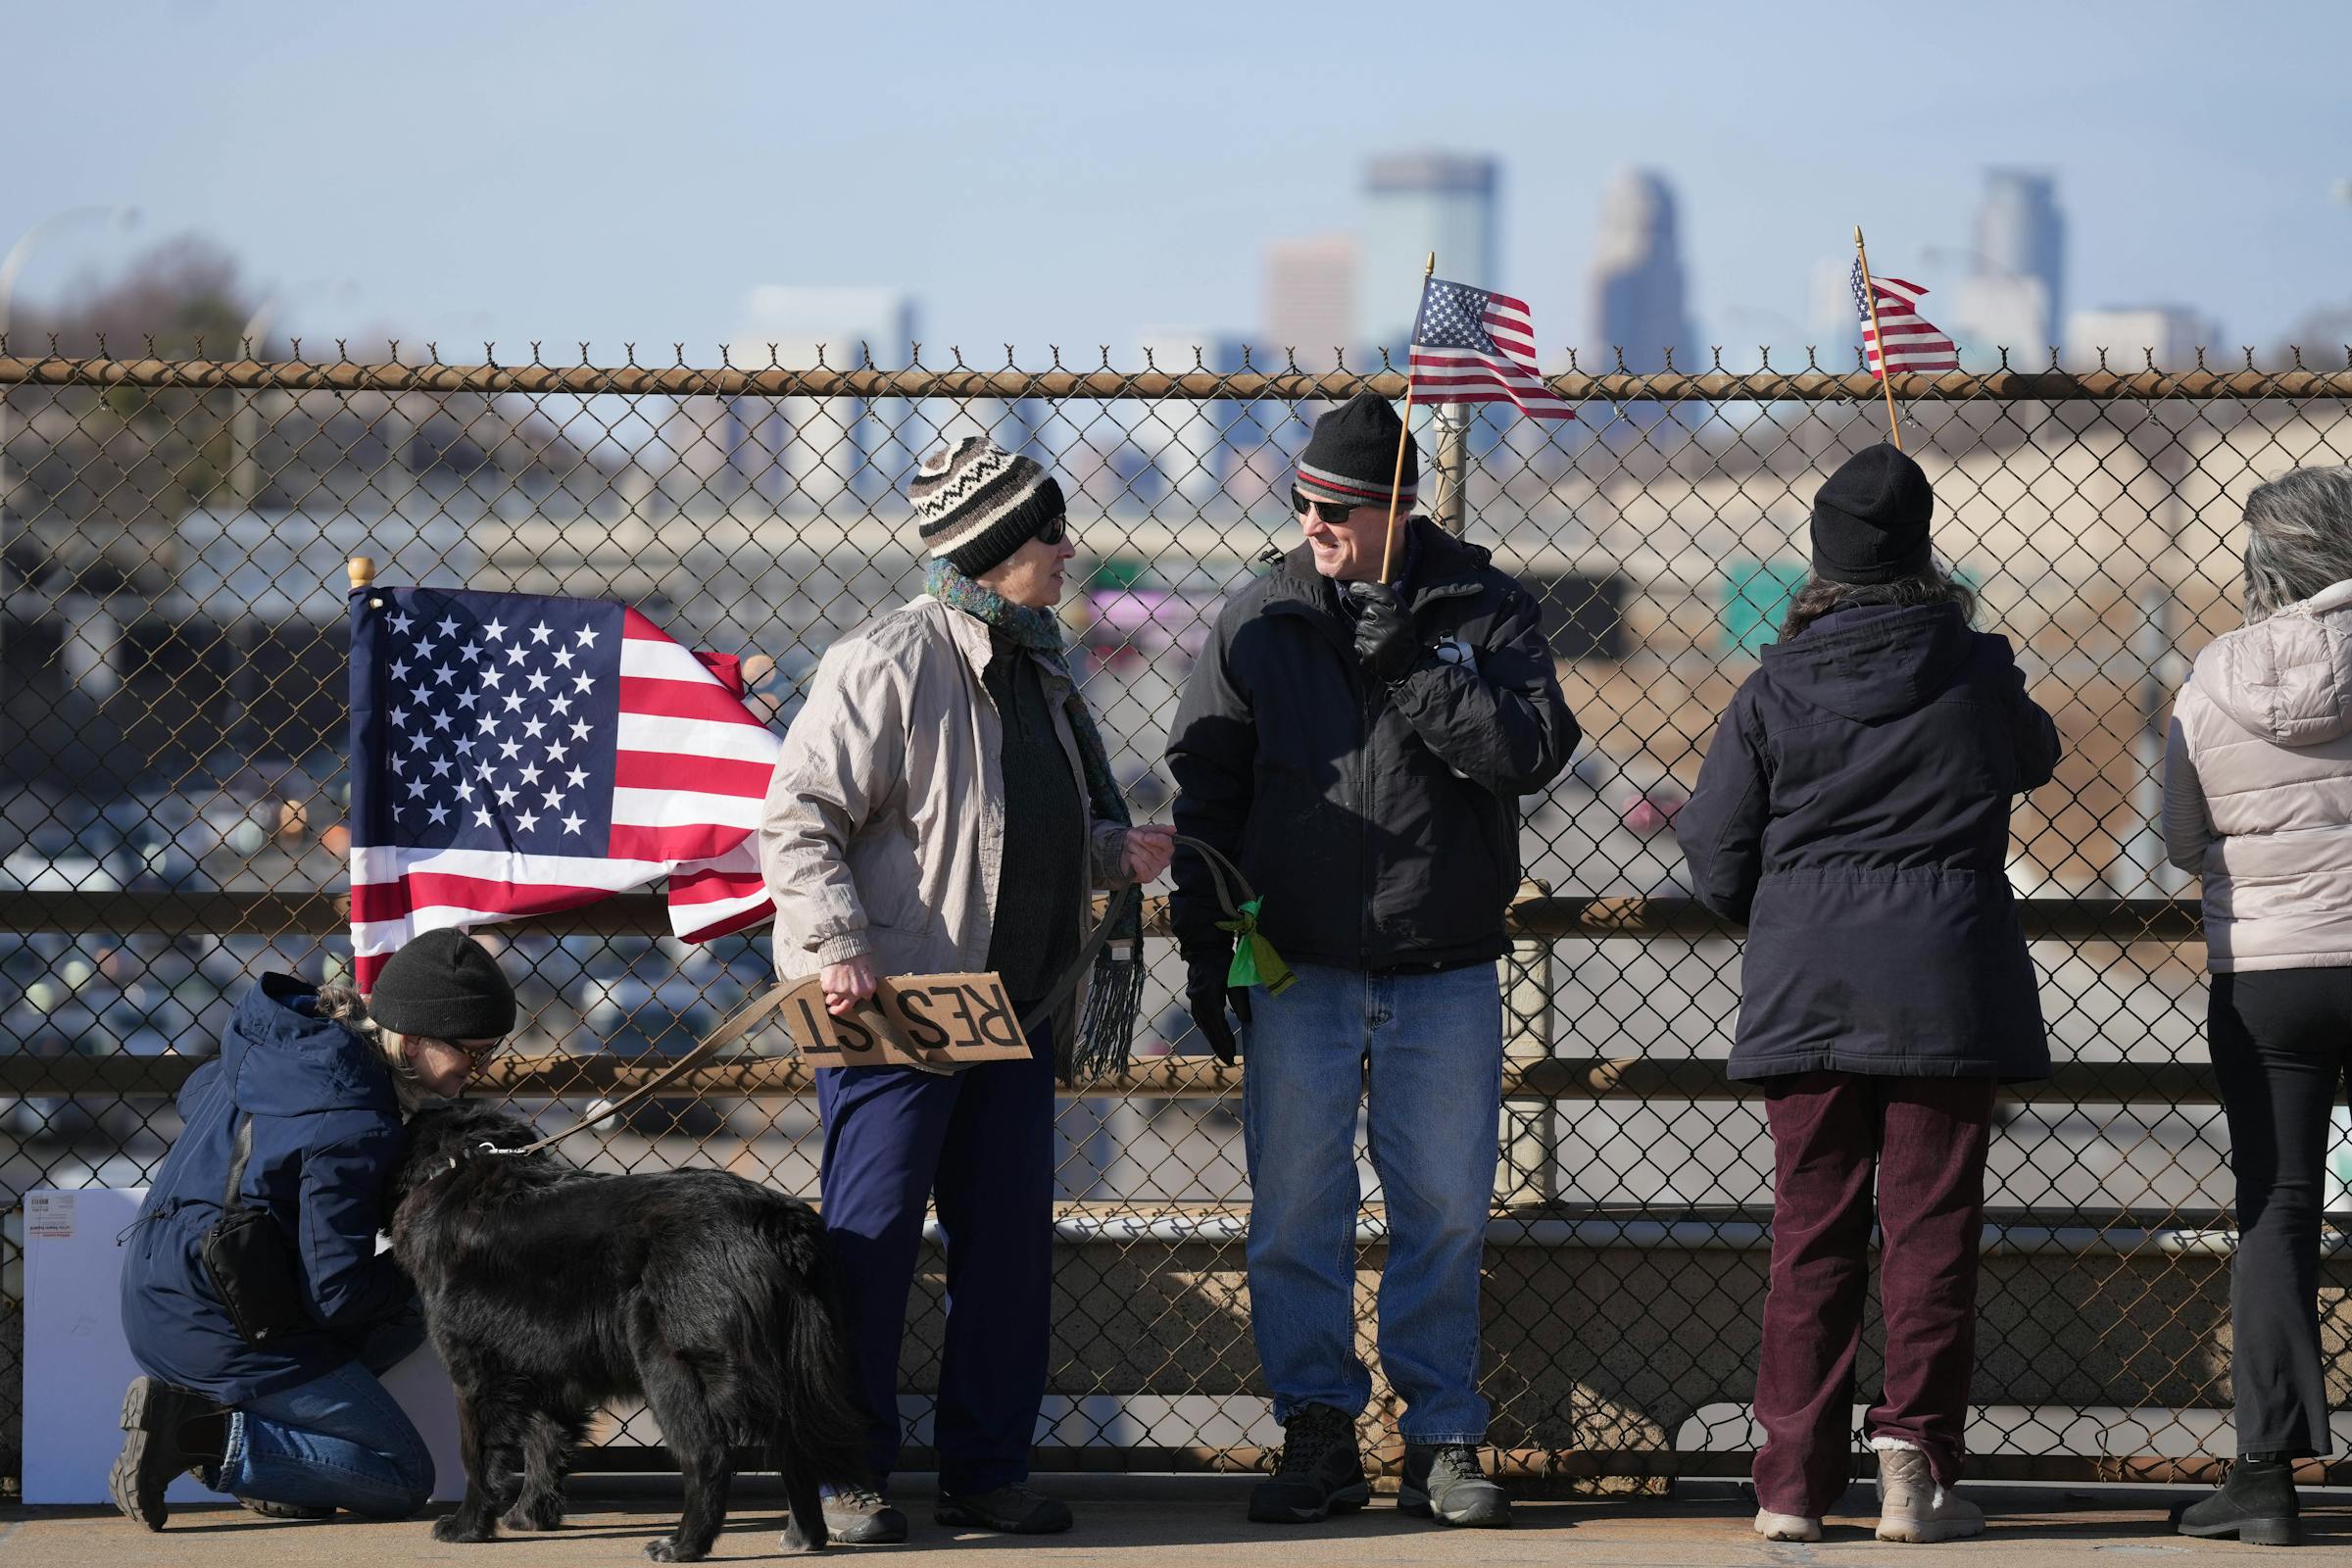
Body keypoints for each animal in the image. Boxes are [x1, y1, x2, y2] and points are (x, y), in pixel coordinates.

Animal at [390, 1100, 870, 1560]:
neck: (460, 1162)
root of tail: (775, 1220)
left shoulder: (476, 1373)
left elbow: (478, 1455)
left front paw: (467, 1527)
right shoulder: (549, 1373)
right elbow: (545, 1443)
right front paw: (531, 1516)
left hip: (670, 1368)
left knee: (709, 1457)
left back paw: (683, 1546)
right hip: (790, 1369)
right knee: (794, 1448)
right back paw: (803, 1537)